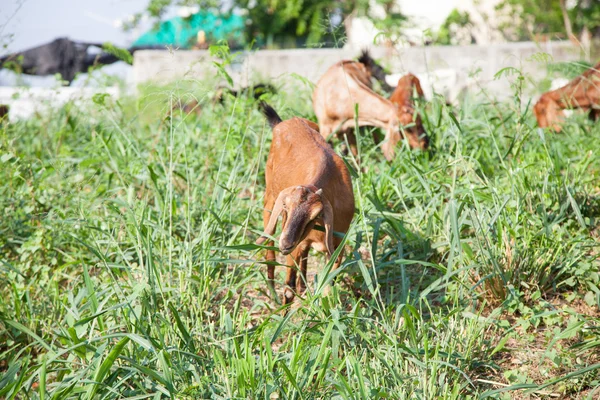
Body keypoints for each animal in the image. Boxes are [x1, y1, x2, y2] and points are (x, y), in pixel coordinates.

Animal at [255, 101, 354, 304]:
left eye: (316, 215)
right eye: (286, 206)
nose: (285, 244)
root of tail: (284, 123)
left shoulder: (336, 245)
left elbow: (328, 283)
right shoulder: (295, 246)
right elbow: (288, 288)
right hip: (269, 199)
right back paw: (272, 292)